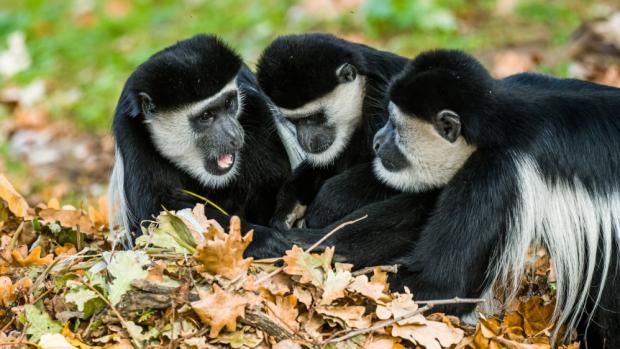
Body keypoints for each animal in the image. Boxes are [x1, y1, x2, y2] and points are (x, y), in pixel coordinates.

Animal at [108, 34, 292, 247]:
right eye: (205, 116)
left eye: (229, 103)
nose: (235, 135)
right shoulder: (131, 135)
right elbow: (159, 210)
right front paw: (266, 240)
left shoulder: (256, 107)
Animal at [254, 32, 404, 228]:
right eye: (294, 121)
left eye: (313, 117)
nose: (306, 141)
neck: (364, 90)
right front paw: (287, 207)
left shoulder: (382, 105)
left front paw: (327, 204)